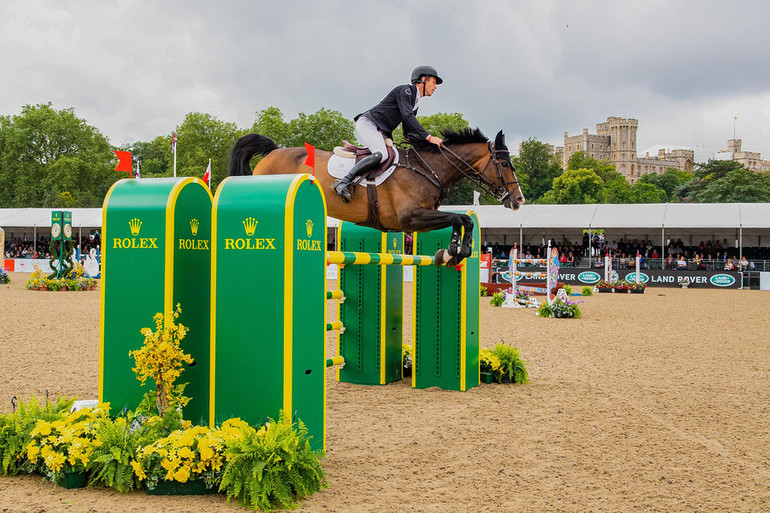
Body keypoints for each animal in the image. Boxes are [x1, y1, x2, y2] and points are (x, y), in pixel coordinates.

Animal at [226, 127, 520, 266]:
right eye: (505, 164)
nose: (518, 200)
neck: (428, 168)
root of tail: (273, 152)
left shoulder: (420, 219)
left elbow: (463, 220)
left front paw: (455, 253)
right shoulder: (411, 219)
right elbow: (459, 219)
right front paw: (453, 252)